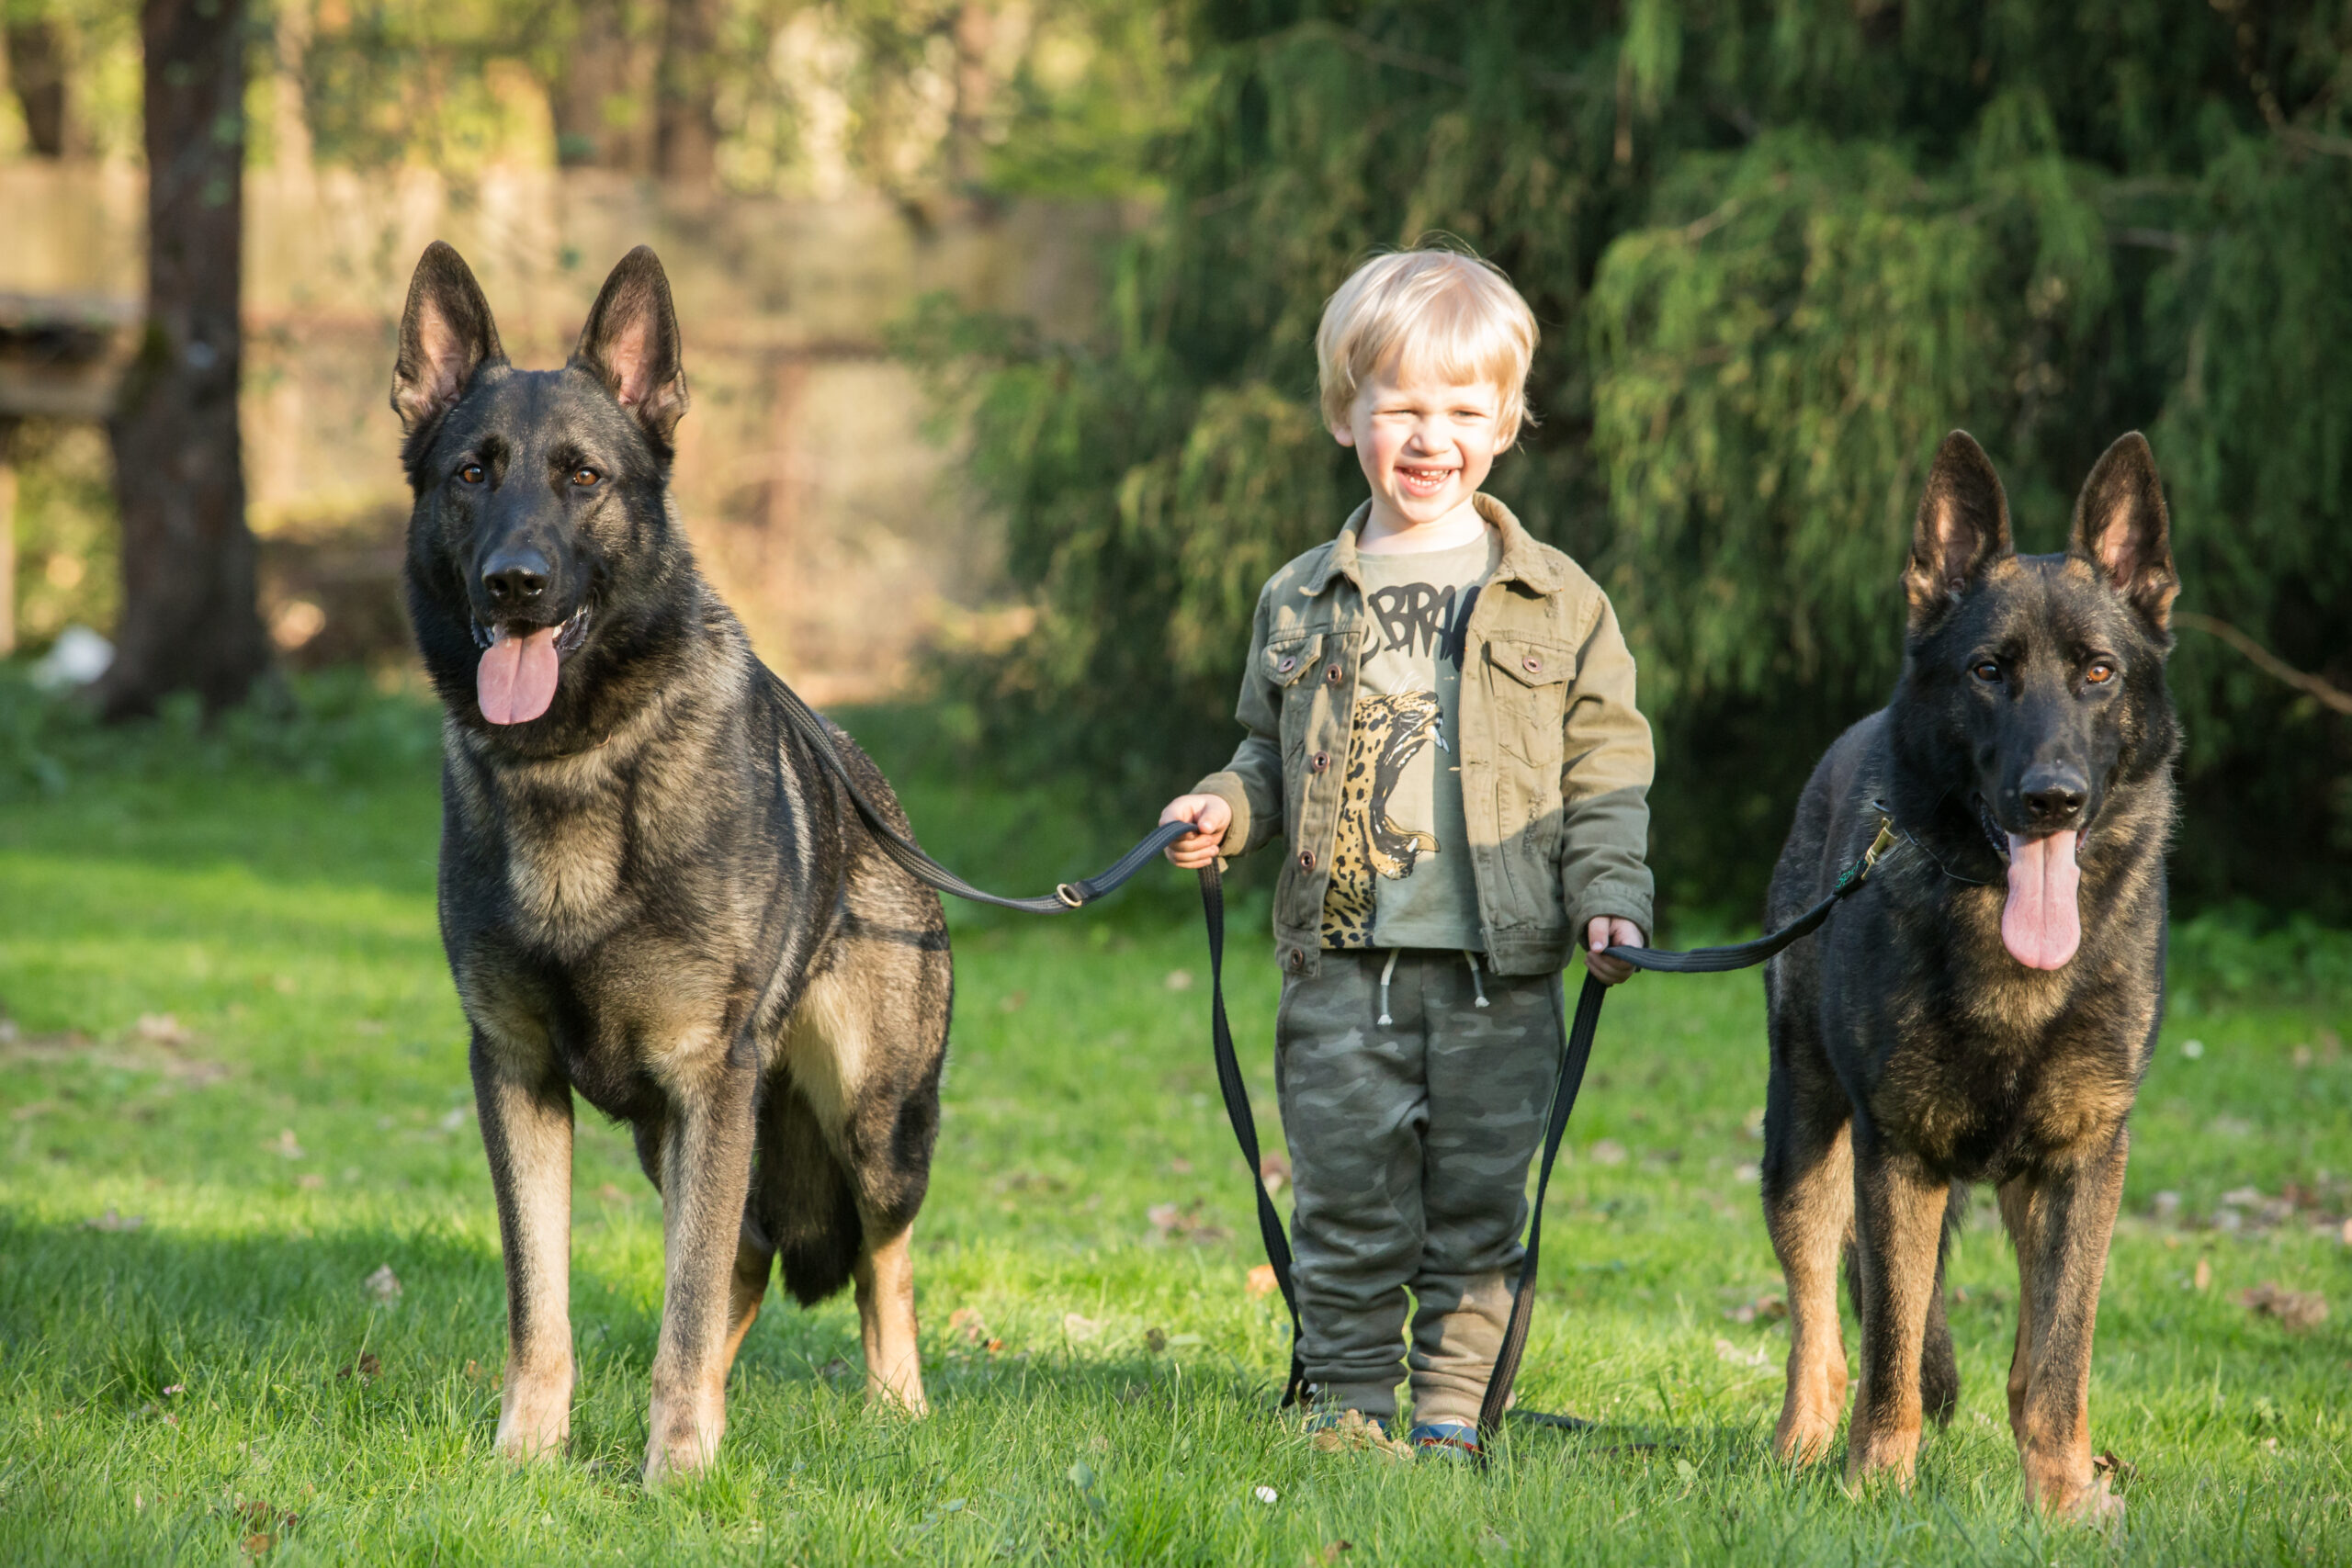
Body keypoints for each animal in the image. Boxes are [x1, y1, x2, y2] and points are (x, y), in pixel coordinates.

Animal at [390, 245, 950, 1485]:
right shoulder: (517, 1077)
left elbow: (683, 1304)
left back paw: (896, 1409)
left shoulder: (708, 1082)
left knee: (876, 1260)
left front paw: (677, 1477)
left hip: (873, 1124)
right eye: (471, 472)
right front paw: (529, 1461)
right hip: (676, 1138)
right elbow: (544, 1305)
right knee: (742, 1256)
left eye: (583, 477)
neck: (577, 761)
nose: (514, 583)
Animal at [1758, 425, 2173, 1523]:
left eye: (2099, 672)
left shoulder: (2081, 1165)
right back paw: (1801, 1448)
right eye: (1988, 670)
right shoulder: (1895, 1156)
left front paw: (2064, 1501)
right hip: (1802, 1141)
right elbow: (1891, 1349)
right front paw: (1876, 1488)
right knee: (1823, 1325)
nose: (2051, 799)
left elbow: (2057, 1359)